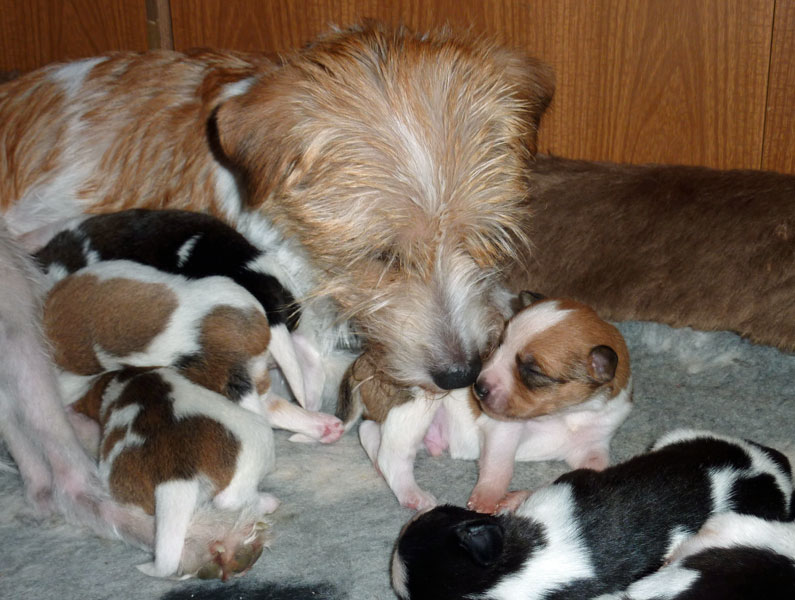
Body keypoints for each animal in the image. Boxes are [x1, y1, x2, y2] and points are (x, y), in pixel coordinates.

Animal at [340, 294, 632, 512]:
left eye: (533, 370)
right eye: (498, 344)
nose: (478, 387)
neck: (568, 414)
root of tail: (366, 357)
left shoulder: (592, 449)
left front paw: (515, 498)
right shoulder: (503, 428)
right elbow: (499, 465)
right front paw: (487, 497)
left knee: (370, 431)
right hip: (416, 404)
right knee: (393, 455)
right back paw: (414, 495)